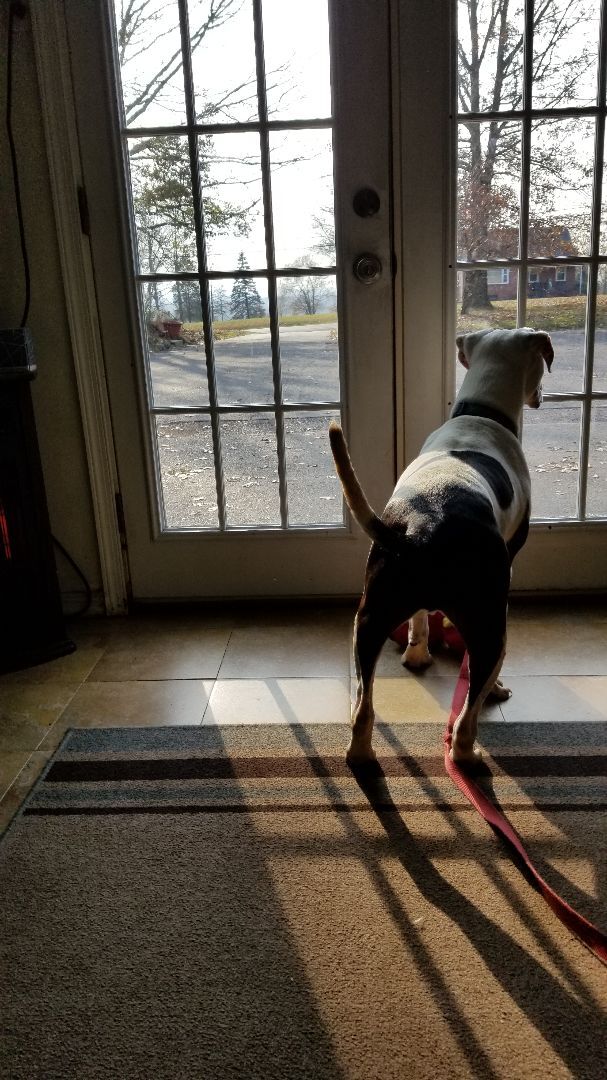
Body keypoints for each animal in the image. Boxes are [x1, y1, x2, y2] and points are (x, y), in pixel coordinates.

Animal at [328, 326, 550, 768]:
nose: (541, 397)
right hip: (489, 628)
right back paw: (466, 752)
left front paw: (417, 653)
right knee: (467, 714)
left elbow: (418, 621)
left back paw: (360, 753)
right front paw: (495, 688)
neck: (481, 413)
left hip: (368, 621)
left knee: (363, 706)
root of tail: (420, 529)